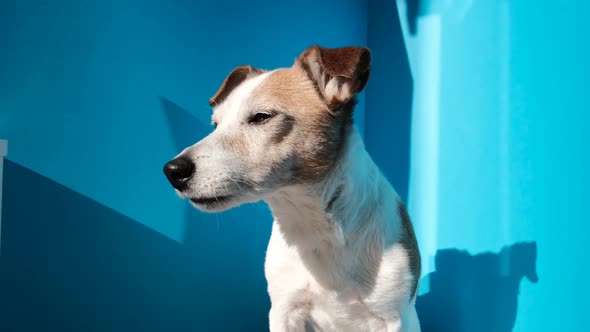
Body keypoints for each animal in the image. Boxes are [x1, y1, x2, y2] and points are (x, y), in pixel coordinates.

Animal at [164, 45, 424, 330]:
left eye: (261, 117)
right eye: (215, 125)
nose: (172, 171)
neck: (316, 229)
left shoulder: (392, 319)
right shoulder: (284, 309)